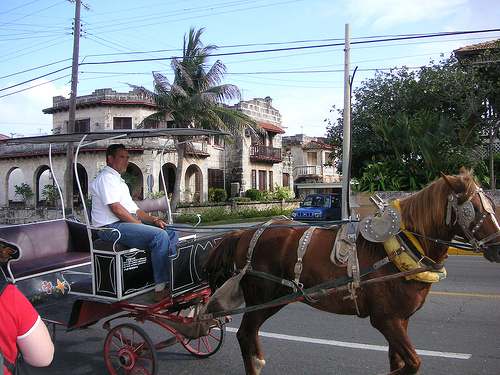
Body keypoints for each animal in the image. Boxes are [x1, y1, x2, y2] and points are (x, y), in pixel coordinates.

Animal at [202, 170, 500, 375]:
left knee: (251, 334)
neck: (399, 250)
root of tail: (245, 232)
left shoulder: (401, 320)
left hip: (277, 298)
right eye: (473, 209)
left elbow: (398, 362)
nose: (497, 247)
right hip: (262, 297)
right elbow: (411, 364)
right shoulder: (385, 320)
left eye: (492, 205)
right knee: (244, 334)